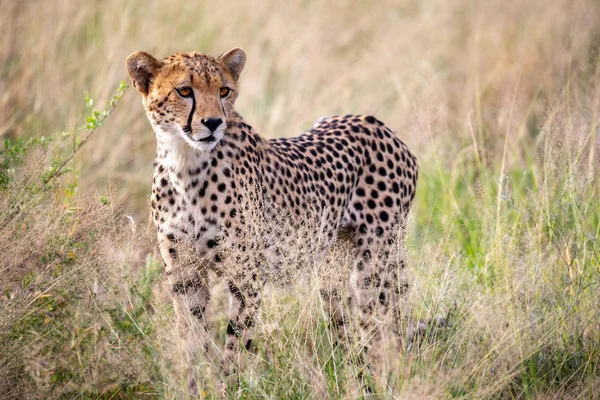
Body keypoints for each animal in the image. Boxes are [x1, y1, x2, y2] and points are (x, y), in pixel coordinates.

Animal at [125, 47, 418, 394]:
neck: (186, 162)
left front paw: (230, 390)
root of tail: (377, 124)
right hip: (332, 273)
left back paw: (389, 378)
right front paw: (192, 388)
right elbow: (191, 340)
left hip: (375, 266)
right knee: (348, 333)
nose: (213, 122)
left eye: (224, 91)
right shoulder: (185, 275)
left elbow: (236, 346)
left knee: (384, 329)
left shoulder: (247, 278)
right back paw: (356, 382)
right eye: (184, 90)